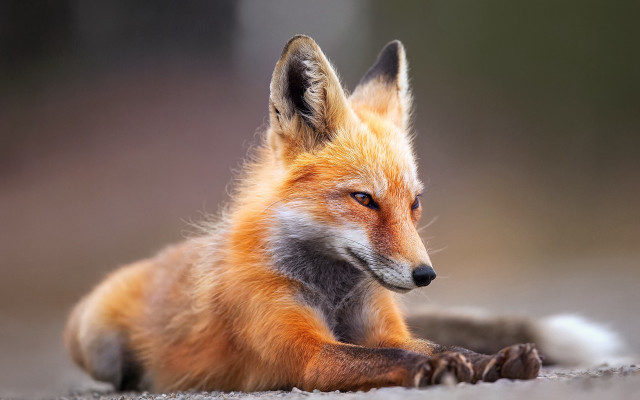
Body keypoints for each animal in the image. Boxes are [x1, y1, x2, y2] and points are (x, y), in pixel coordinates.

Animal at [64, 35, 622, 393]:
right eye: (364, 199)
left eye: (414, 203)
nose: (425, 275)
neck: (331, 288)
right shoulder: (306, 353)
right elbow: (392, 357)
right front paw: (442, 368)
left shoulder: (383, 325)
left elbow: (425, 342)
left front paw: (490, 360)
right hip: (97, 343)